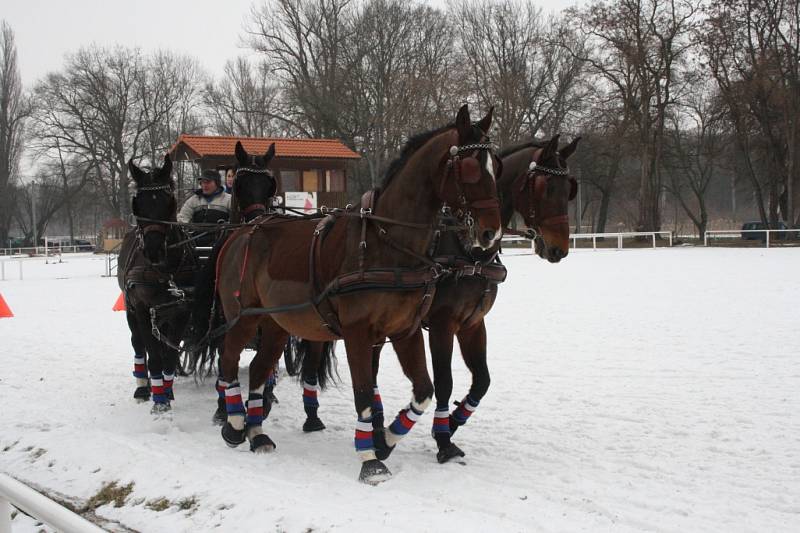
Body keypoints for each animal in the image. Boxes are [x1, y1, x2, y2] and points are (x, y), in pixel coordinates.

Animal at [117, 154, 198, 412]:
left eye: (168, 201)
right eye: (138, 203)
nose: (153, 250)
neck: (165, 270)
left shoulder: (182, 311)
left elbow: (170, 355)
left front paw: (167, 392)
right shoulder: (143, 309)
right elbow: (152, 353)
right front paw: (158, 399)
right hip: (131, 309)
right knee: (138, 344)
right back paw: (144, 387)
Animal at [196, 104, 500, 482]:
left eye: (496, 165)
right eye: (470, 168)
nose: (491, 233)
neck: (387, 243)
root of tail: (245, 229)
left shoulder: (407, 330)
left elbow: (424, 391)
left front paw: (385, 441)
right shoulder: (359, 333)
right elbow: (365, 394)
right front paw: (370, 459)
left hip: (277, 324)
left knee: (257, 368)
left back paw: (257, 433)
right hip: (242, 318)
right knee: (227, 359)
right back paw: (234, 423)